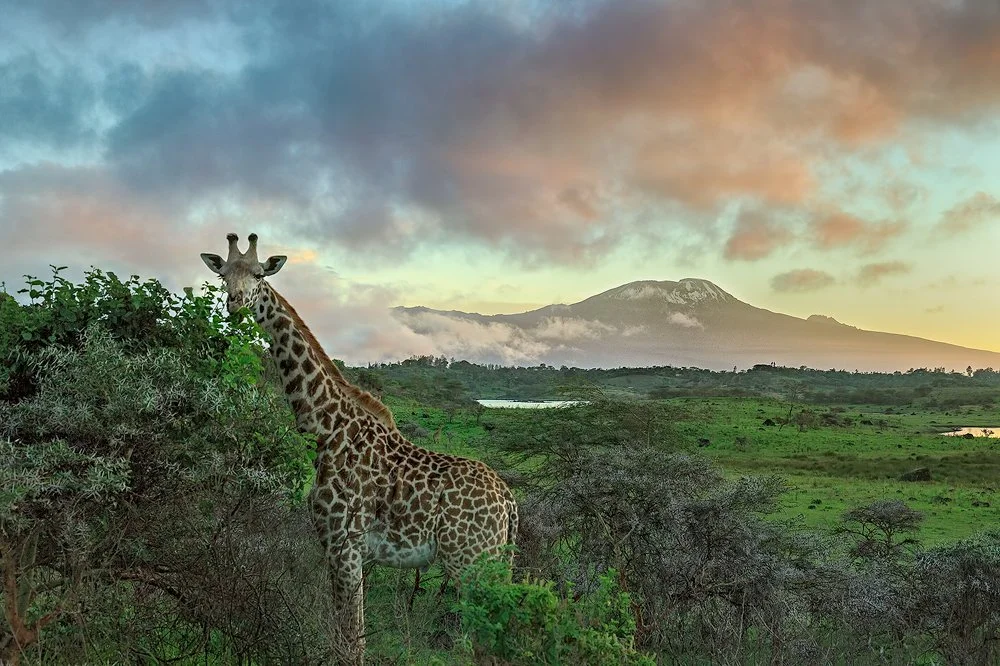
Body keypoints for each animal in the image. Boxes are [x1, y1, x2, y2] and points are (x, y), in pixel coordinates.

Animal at [200, 234, 518, 665]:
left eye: (259, 274)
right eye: (223, 275)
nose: (235, 303)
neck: (325, 428)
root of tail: (509, 502)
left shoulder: (344, 545)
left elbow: (351, 642)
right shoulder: (338, 549)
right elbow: (348, 637)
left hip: (472, 561)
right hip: (495, 561)